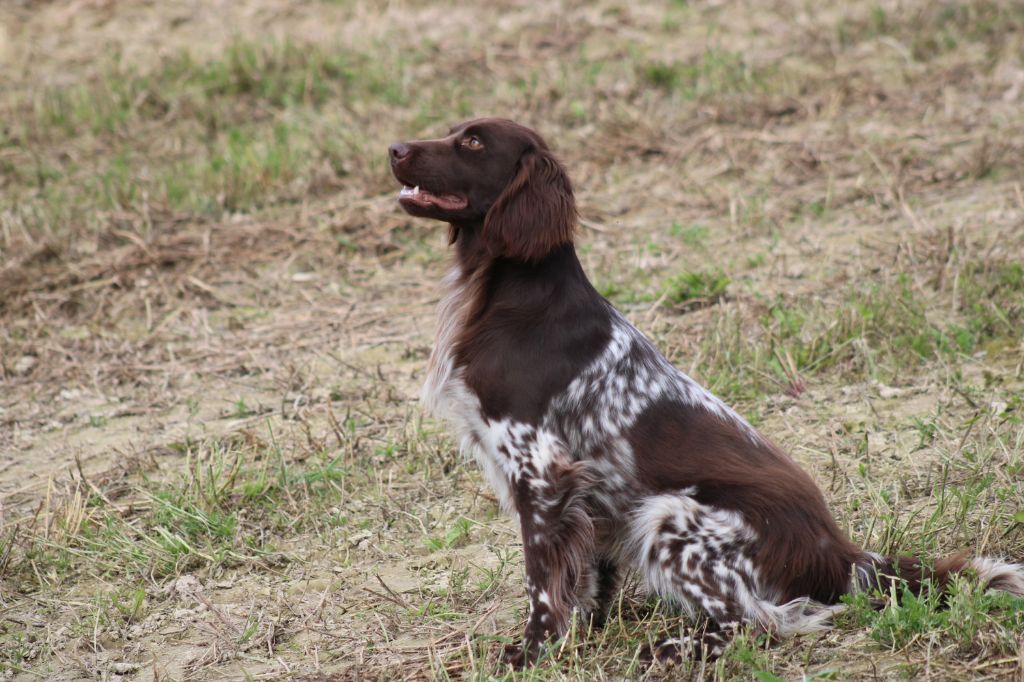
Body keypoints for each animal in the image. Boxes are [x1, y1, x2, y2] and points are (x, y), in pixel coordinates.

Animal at [387, 116, 1019, 663]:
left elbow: (542, 583)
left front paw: (531, 653)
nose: (394, 149)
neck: (511, 293)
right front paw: (579, 638)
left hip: (670, 516)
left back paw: (666, 650)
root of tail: (842, 555)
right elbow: (583, 580)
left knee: (759, 622)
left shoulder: (540, 469)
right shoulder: (574, 490)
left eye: (472, 142)